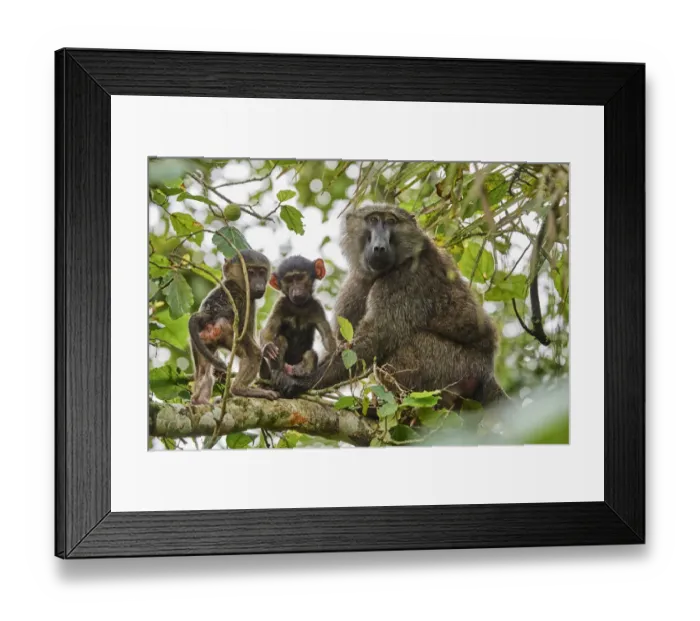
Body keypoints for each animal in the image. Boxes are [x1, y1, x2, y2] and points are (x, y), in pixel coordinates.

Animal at [188, 249, 279, 404]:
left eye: (261, 272)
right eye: (250, 272)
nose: (259, 285)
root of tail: (207, 314)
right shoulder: (247, 301)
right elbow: (248, 333)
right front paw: (267, 350)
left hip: (201, 340)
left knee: (203, 373)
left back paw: (198, 400)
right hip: (226, 330)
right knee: (253, 353)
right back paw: (240, 389)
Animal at [268, 204, 507, 407]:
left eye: (391, 221)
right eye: (373, 220)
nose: (379, 247)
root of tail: (488, 373)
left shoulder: (405, 279)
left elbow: (372, 343)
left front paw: (300, 382)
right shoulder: (357, 282)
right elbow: (341, 344)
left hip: (459, 366)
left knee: (402, 350)